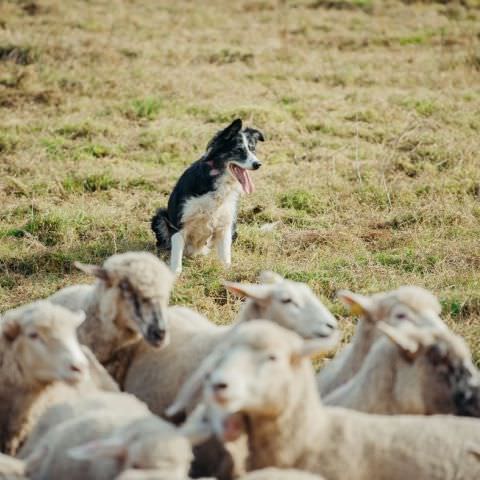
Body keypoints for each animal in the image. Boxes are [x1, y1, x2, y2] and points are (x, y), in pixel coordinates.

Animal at [151, 118, 264, 274]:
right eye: (238, 150)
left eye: (252, 149)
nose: (258, 164)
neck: (218, 178)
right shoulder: (179, 224)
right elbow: (177, 253)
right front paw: (175, 272)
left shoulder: (226, 224)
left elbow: (225, 256)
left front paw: (226, 272)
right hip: (160, 217)